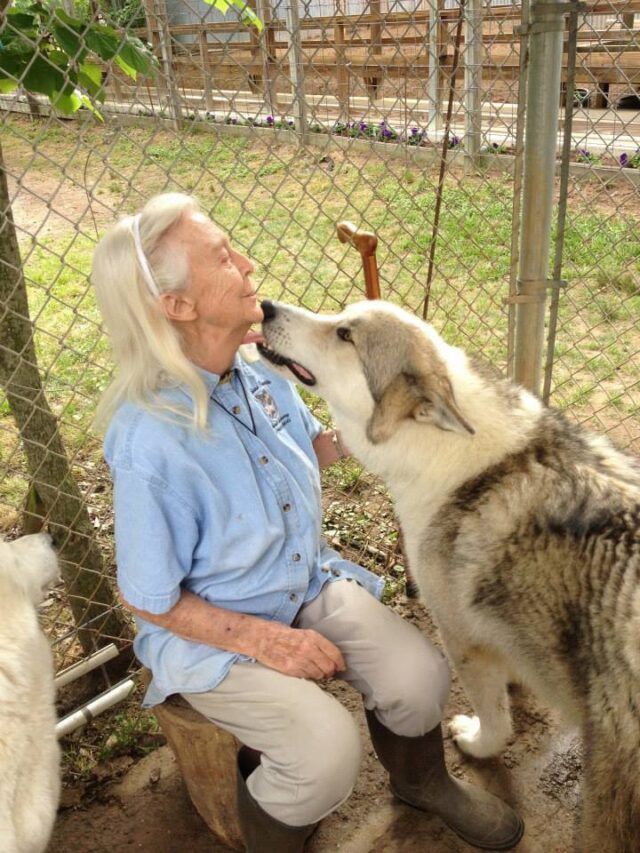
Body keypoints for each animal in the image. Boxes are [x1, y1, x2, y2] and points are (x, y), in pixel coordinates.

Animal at [258, 298, 640, 852]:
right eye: (339, 315)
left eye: (344, 333)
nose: (264, 306)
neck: (443, 451)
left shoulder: (461, 638)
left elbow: (497, 724)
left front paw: (477, 744)